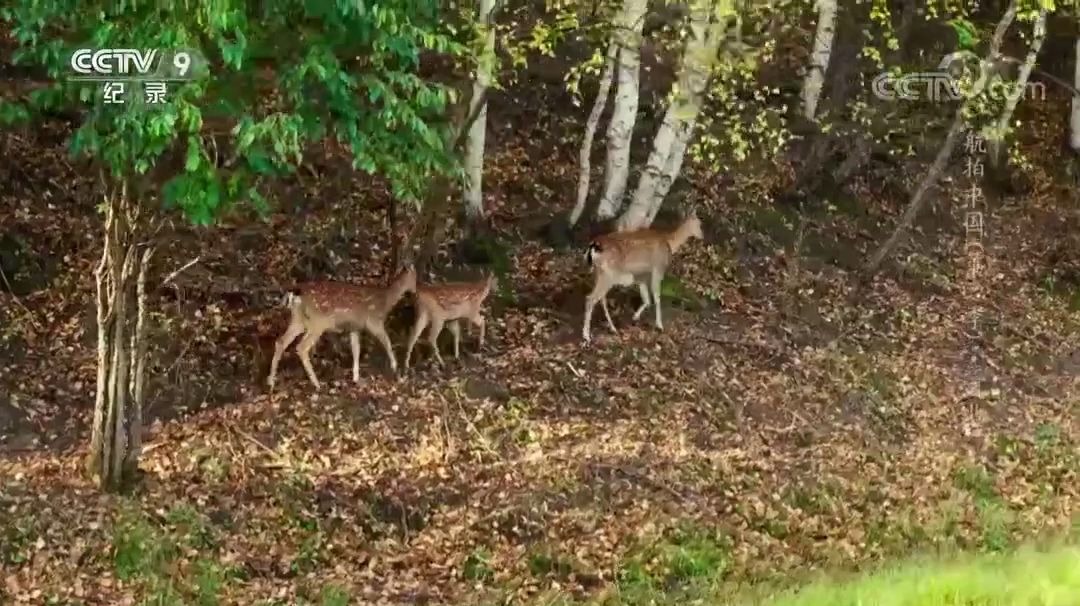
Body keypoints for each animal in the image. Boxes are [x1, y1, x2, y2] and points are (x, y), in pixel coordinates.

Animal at [268, 265, 416, 388]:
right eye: (416, 277)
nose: (415, 291)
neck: (385, 302)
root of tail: (295, 294)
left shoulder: (355, 328)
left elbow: (356, 349)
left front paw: (356, 377)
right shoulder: (374, 322)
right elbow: (387, 342)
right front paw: (396, 369)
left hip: (298, 319)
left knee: (280, 342)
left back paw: (271, 381)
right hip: (318, 322)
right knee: (302, 347)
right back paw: (317, 384)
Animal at [587, 209, 704, 341]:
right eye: (699, 224)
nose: (702, 235)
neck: (669, 242)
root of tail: (594, 246)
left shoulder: (641, 275)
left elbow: (647, 298)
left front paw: (635, 317)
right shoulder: (658, 268)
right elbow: (657, 297)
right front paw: (659, 326)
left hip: (598, 273)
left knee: (601, 299)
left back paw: (612, 328)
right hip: (608, 275)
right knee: (591, 299)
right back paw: (587, 336)